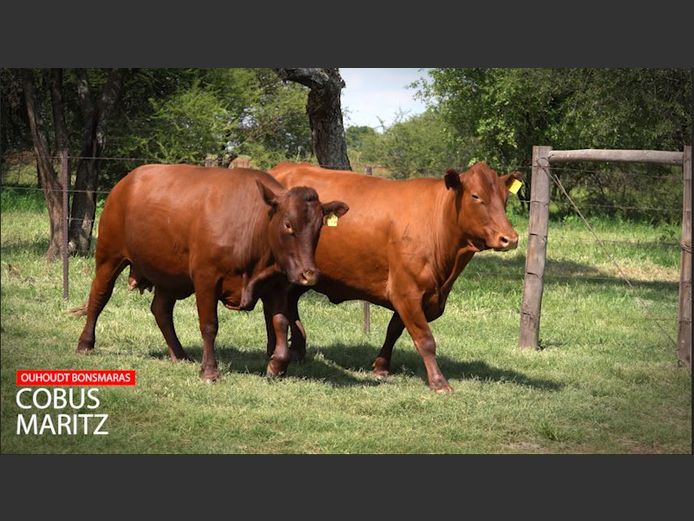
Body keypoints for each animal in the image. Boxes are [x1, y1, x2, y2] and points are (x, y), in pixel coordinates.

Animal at [77, 165, 350, 380]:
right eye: (288, 225)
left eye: (318, 228)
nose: (309, 274)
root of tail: (128, 180)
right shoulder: (206, 278)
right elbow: (209, 325)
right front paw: (209, 371)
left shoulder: (276, 285)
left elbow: (281, 323)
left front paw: (276, 366)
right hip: (109, 257)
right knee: (99, 296)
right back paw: (85, 344)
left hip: (169, 274)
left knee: (161, 310)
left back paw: (179, 354)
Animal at [270, 160, 520, 392]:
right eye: (476, 196)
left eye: (505, 198)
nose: (510, 238)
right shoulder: (406, 291)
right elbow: (425, 339)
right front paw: (439, 382)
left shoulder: (415, 295)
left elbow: (394, 330)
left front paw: (381, 367)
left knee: (291, 304)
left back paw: (298, 349)